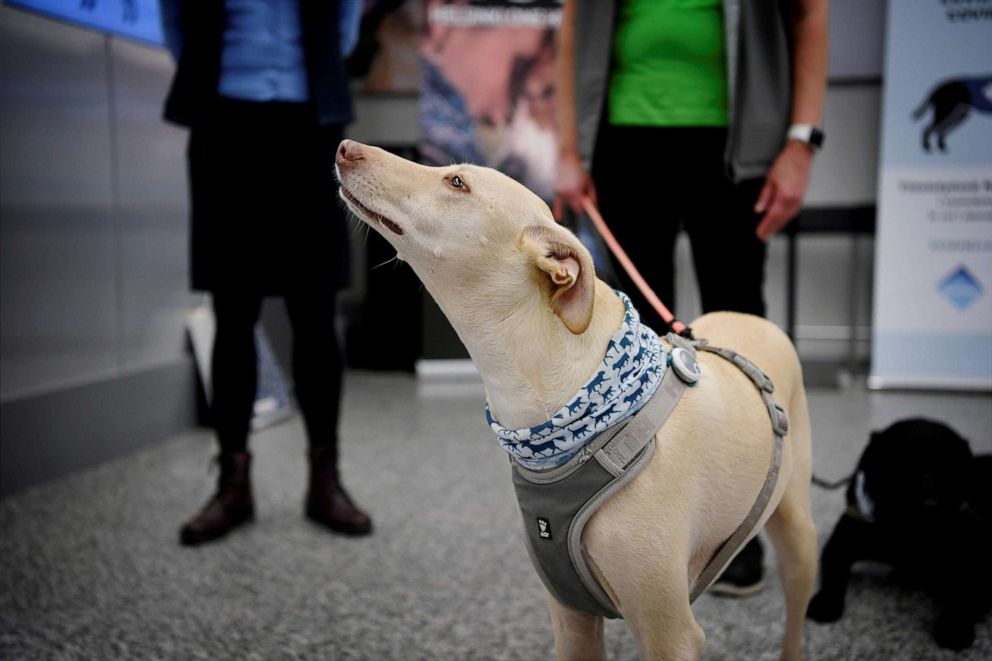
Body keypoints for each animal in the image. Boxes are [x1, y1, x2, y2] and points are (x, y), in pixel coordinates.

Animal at [338, 139, 816, 660]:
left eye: (457, 182)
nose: (346, 148)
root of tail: (755, 320)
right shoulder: (571, 615)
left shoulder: (670, 633)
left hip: (797, 535)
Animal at [808, 418, 992, 648]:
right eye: (902, 465)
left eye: (951, 470)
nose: (931, 505)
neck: (906, 533)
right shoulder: (842, 542)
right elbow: (834, 574)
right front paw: (826, 603)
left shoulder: (974, 558)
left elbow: (966, 591)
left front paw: (954, 627)